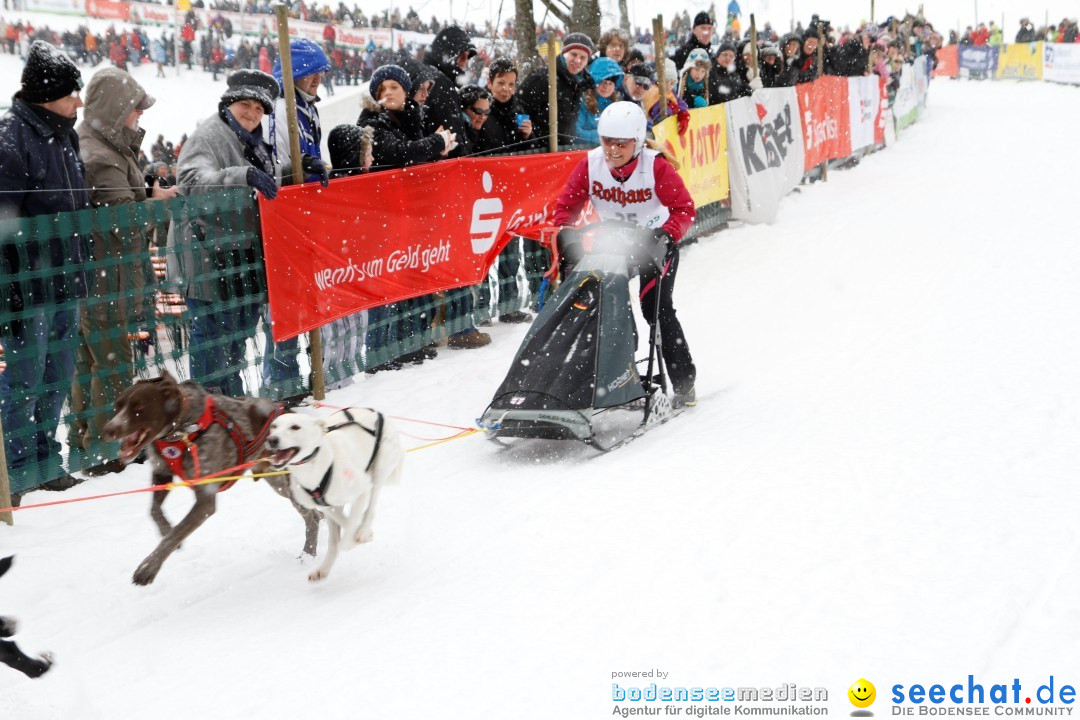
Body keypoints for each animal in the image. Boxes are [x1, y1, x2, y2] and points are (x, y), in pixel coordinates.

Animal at [266, 408, 406, 582]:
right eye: (273, 426)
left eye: (295, 427)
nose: (272, 439)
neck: (316, 467)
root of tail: (377, 412)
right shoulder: (326, 506)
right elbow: (342, 527)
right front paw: (360, 535)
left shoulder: (361, 490)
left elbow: (351, 526)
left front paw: (355, 538)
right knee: (334, 539)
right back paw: (323, 569)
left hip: (379, 471)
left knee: (371, 506)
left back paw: (362, 530)